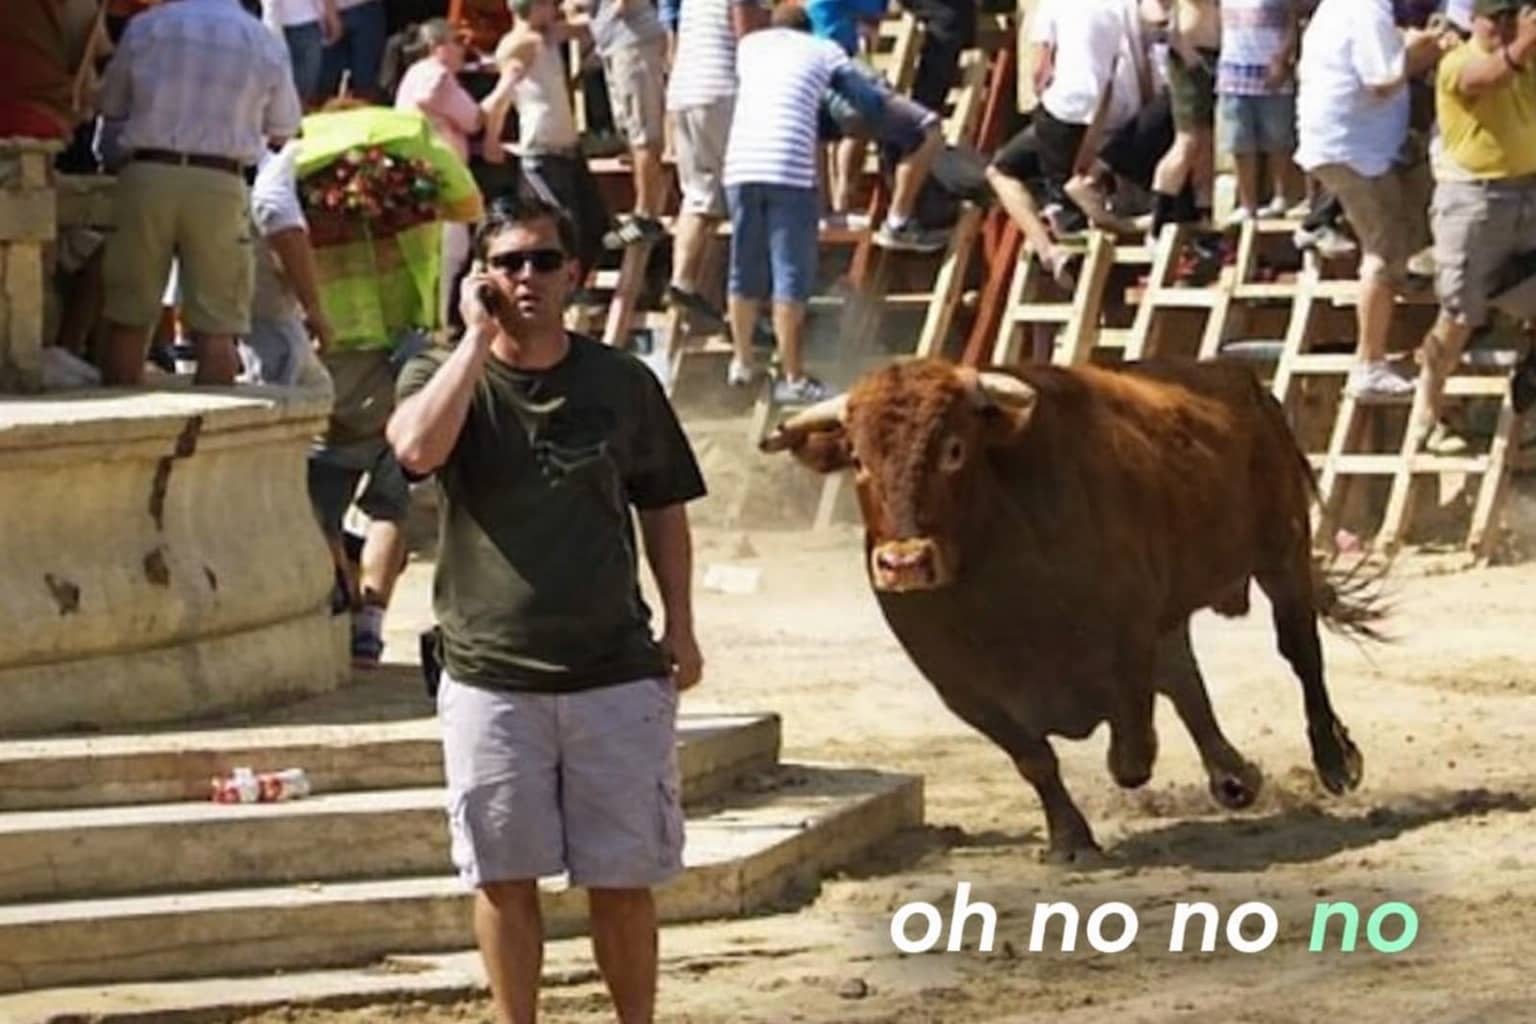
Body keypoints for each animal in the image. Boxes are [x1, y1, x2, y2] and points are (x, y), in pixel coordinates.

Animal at [760, 357, 1379, 862]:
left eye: (954, 449)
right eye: (858, 460)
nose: (905, 562)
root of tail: (1237, 378)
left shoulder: (1127, 631)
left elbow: (1131, 750)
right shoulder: (960, 686)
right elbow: (1035, 759)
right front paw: (1070, 840)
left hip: (1283, 552)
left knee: (1300, 654)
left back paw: (1333, 761)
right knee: (1185, 678)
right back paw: (1234, 777)